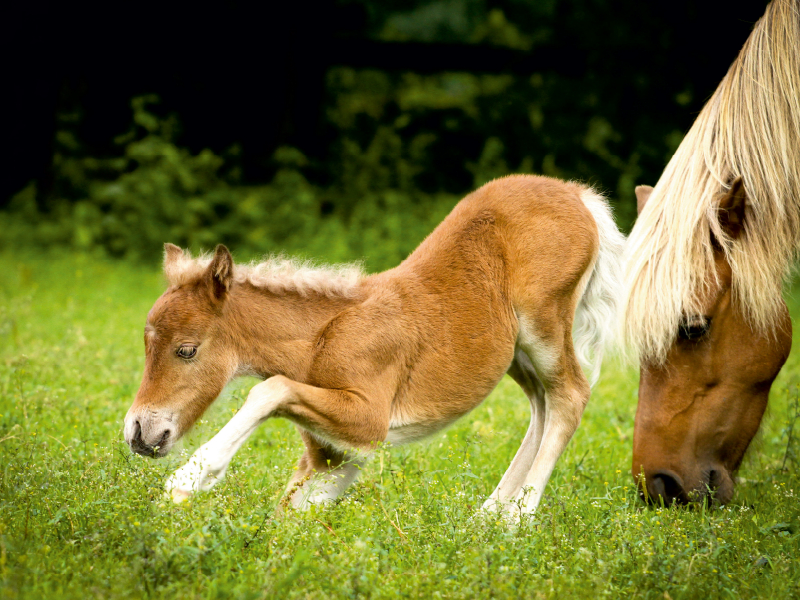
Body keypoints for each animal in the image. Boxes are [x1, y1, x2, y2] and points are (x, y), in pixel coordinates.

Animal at [123, 175, 624, 516]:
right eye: (146, 346)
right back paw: (486, 517)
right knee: (543, 402)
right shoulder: (335, 456)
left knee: (570, 395)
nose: (140, 433)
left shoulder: (369, 420)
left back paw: (515, 520)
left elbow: (270, 389)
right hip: (517, 350)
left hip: (544, 324)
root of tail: (578, 194)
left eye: (186, 350)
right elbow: (288, 516)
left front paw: (187, 480)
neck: (324, 336)